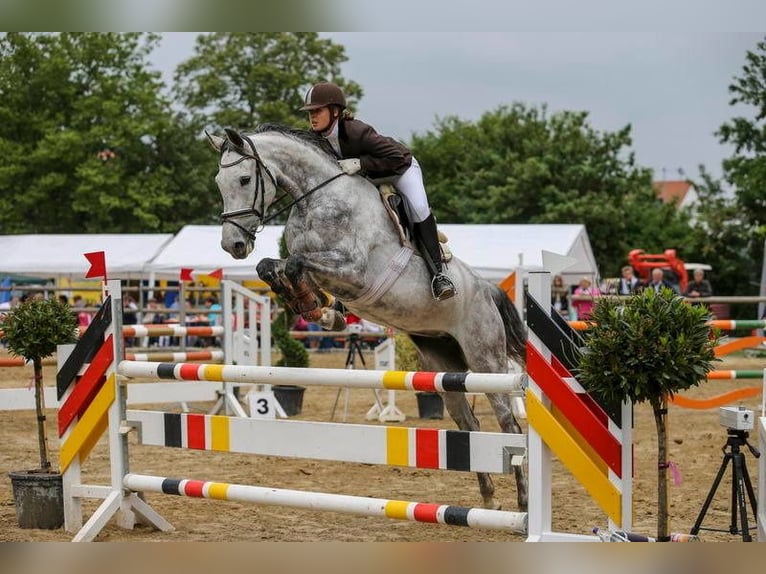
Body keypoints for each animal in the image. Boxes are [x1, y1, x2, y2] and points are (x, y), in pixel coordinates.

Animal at [207, 126, 528, 512]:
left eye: (243, 178)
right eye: (218, 182)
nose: (233, 245)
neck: (318, 197)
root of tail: (488, 289)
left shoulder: (353, 270)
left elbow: (296, 262)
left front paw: (313, 304)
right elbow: (272, 266)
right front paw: (318, 308)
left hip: (485, 358)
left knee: (509, 424)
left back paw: (523, 501)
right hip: (443, 362)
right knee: (468, 422)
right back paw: (489, 500)